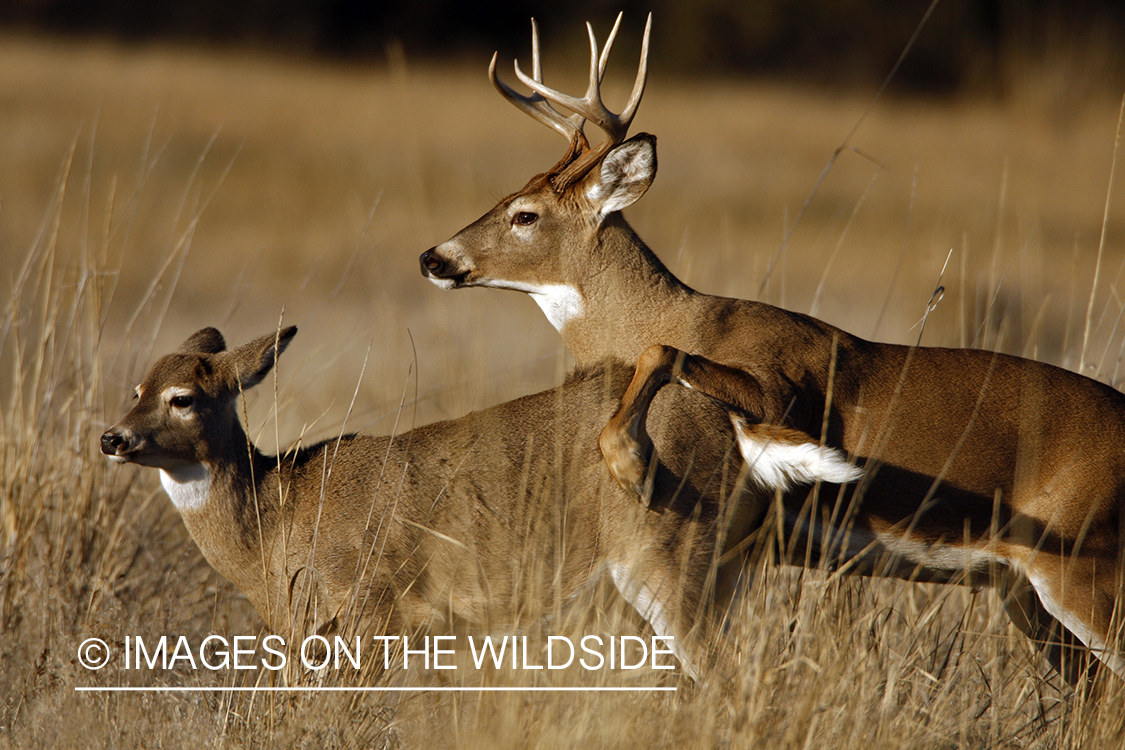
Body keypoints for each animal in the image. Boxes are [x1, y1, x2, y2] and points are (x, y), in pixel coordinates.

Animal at [101, 326, 855, 679]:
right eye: (135, 387)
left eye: (183, 398)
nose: (112, 437)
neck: (277, 514)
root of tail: (734, 426)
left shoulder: (369, 610)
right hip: (723, 566)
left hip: (664, 552)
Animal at [420, 14, 1125, 683]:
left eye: (525, 214)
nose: (434, 257)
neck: (681, 312)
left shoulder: (778, 387)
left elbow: (662, 354)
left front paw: (630, 466)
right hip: (1026, 592)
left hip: (1087, 565)